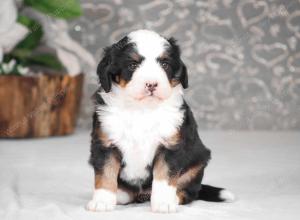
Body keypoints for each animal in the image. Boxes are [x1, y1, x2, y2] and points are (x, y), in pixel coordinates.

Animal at [86, 29, 234, 213]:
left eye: (164, 65)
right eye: (132, 65)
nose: (151, 84)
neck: (141, 110)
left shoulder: (169, 146)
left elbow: (164, 178)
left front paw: (164, 203)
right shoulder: (105, 144)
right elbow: (105, 174)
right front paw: (102, 201)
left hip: (198, 163)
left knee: (190, 192)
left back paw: (174, 198)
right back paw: (120, 195)